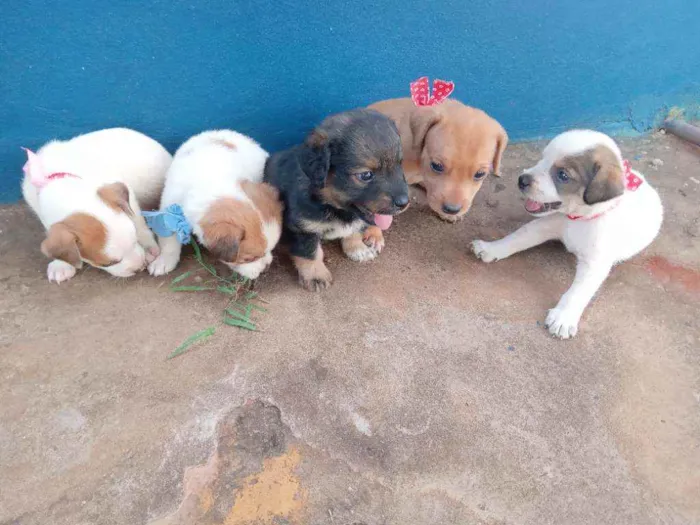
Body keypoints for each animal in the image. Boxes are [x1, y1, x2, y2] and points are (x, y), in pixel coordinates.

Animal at [21, 127, 172, 282]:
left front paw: (148, 246)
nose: (140, 267)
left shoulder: (124, 191)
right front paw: (62, 264)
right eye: (108, 263)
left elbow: (138, 221)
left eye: (135, 240)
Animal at [149, 129, 284, 280]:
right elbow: (168, 240)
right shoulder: (169, 208)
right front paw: (164, 261)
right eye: (248, 259)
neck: (212, 180)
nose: (266, 267)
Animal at [264, 109, 410, 290]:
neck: (331, 205)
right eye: (366, 175)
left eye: (399, 164)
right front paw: (315, 275)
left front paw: (356, 248)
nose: (404, 203)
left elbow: (353, 229)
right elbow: (309, 251)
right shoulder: (303, 226)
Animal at [470, 129, 660, 338]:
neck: (579, 219)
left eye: (562, 175)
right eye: (543, 158)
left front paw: (564, 316)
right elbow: (518, 237)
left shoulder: (595, 263)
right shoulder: (545, 225)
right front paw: (492, 248)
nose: (521, 180)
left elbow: (578, 291)